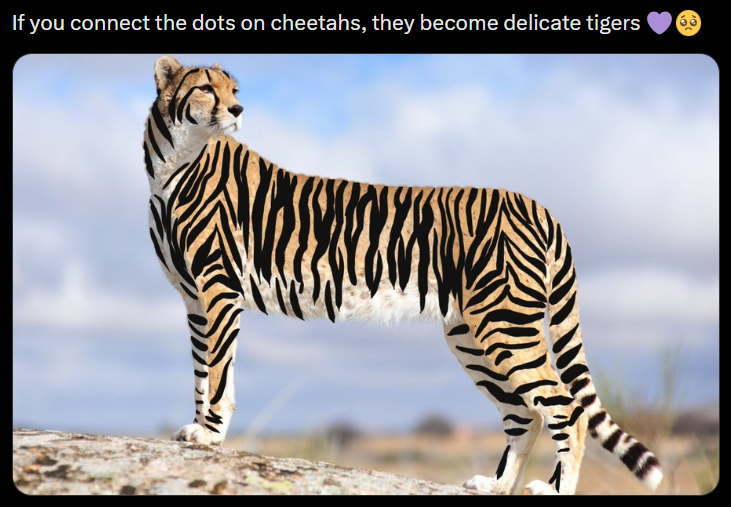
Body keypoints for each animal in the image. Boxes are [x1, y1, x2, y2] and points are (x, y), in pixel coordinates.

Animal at [143, 56, 663, 495]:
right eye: (206, 87)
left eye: (233, 89)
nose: (237, 109)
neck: (173, 165)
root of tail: (537, 204)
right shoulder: (196, 299)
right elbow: (204, 370)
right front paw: (199, 431)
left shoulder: (218, 290)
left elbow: (216, 372)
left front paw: (209, 435)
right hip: (471, 334)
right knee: (523, 413)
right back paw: (496, 485)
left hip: (504, 323)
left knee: (565, 407)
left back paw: (554, 490)